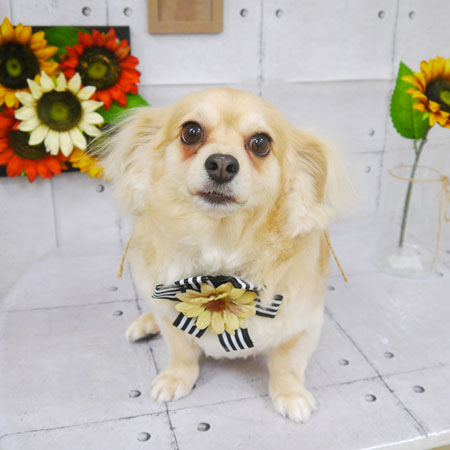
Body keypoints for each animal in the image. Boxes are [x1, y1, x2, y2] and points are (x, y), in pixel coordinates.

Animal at [99, 87, 351, 423]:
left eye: (260, 143)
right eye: (191, 132)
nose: (221, 163)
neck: (221, 252)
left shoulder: (304, 325)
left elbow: (286, 364)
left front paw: (290, 395)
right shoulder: (171, 318)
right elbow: (181, 351)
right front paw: (175, 378)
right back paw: (145, 324)